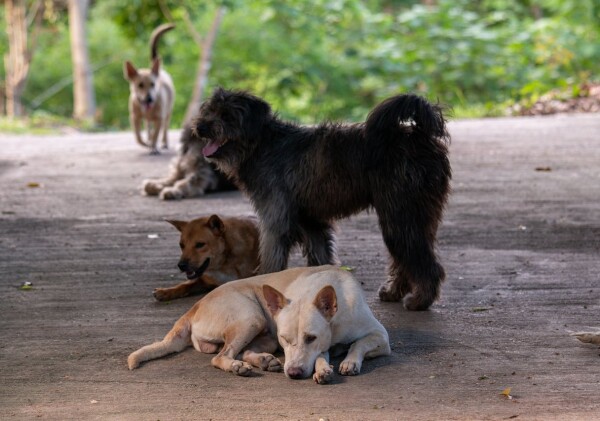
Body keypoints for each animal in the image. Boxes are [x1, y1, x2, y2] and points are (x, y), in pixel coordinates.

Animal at [123, 23, 175, 154]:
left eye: (153, 84)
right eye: (140, 85)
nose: (150, 99)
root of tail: (159, 71)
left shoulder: (159, 118)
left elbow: (156, 134)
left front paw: (153, 147)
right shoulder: (134, 118)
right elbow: (138, 136)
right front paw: (146, 143)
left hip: (168, 113)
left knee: (165, 129)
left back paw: (163, 143)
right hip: (147, 120)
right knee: (148, 128)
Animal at [127, 266, 390, 384]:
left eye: (311, 338)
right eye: (286, 339)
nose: (293, 374)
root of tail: (195, 306)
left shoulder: (381, 336)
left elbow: (356, 344)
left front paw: (344, 363)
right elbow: (326, 354)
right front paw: (328, 367)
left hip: (265, 334)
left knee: (244, 351)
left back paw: (264, 361)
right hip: (253, 318)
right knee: (222, 356)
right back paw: (237, 367)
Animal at [192, 88, 450, 310]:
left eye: (227, 115)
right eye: (209, 110)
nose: (201, 126)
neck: (262, 144)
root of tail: (419, 136)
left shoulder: (276, 221)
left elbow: (272, 258)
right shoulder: (310, 222)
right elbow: (320, 258)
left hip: (400, 215)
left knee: (423, 262)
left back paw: (420, 300)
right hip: (415, 215)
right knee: (406, 258)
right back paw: (394, 292)